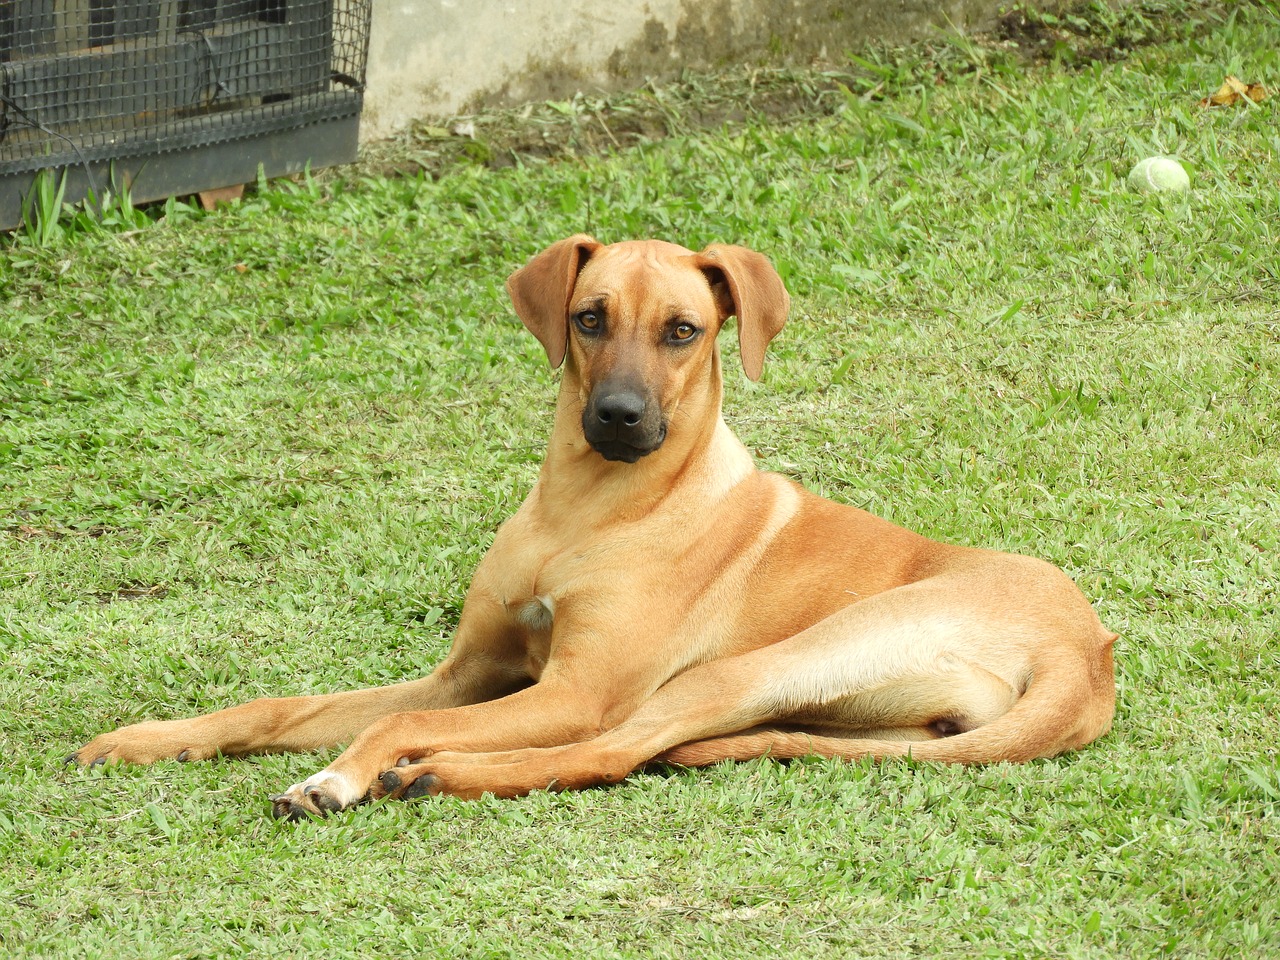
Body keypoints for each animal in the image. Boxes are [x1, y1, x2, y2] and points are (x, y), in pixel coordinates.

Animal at [70, 235, 1116, 819]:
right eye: (589, 317)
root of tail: (1088, 653)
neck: (591, 513)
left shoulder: (570, 690)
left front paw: (338, 778)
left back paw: (436, 774)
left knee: (608, 754)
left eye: (684, 331)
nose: (616, 417)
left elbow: (400, 721)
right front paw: (153, 739)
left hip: (747, 667)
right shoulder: (469, 672)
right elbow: (279, 707)